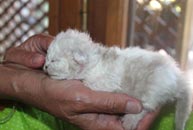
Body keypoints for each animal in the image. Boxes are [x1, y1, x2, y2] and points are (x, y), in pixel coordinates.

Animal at [44, 29, 193, 130]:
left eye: (54, 60)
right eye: (47, 58)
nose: (44, 66)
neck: (94, 63)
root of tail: (178, 77)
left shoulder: (107, 81)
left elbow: (89, 83)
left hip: (153, 90)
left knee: (146, 108)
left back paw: (130, 120)